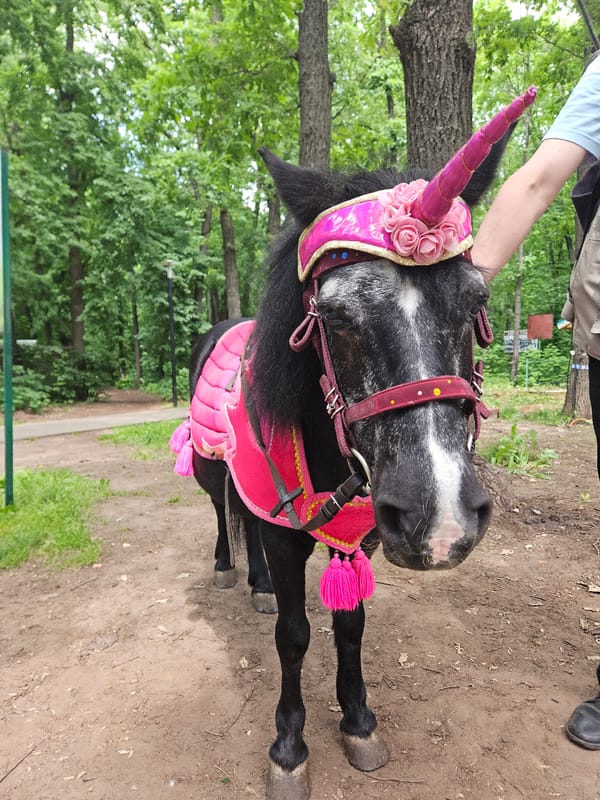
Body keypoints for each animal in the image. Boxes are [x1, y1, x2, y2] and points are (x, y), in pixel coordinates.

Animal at [171, 87, 536, 800]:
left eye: (476, 299)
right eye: (335, 316)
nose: (440, 518)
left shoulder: (364, 533)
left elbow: (350, 624)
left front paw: (359, 720)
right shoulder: (287, 532)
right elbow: (293, 635)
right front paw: (289, 748)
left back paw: (256, 582)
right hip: (209, 471)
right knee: (223, 515)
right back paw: (232, 570)